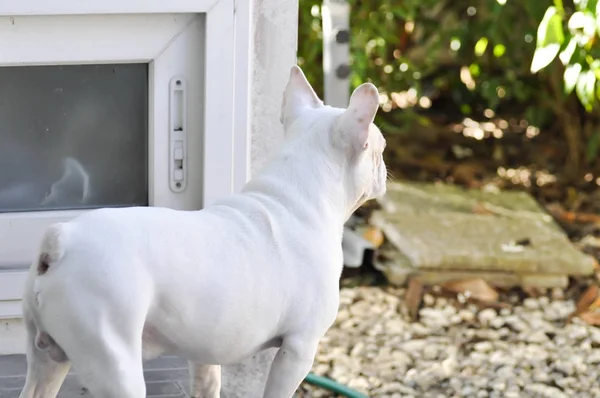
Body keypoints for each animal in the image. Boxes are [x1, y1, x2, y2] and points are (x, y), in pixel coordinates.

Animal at [18, 67, 386, 396]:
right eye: (379, 146)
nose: (385, 167)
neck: (295, 194)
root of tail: (60, 243)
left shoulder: (205, 352)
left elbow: (207, 384)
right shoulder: (299, 348)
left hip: (47, 359)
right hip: (113, 361)